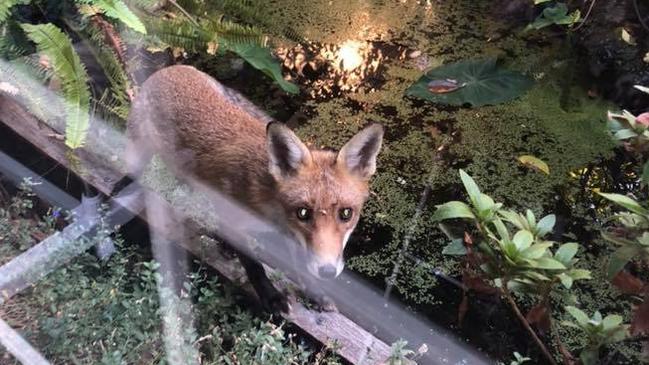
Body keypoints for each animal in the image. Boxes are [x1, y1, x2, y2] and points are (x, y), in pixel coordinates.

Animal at [116, 64, 382, 310]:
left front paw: (316, 293)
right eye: (303, 212)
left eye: (346, 213)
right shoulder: (238, 220)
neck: (271, 208)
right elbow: (253, 265)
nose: (327, 271)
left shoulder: (290, 235)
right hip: (139, 155)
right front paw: (271, 297)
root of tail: (170, 68)